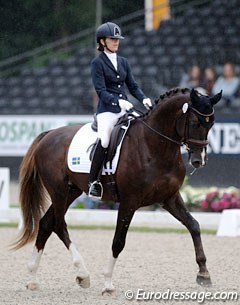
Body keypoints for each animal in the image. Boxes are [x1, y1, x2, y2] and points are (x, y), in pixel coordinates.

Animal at [14, 87, 221, 292]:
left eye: (211, 125)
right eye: (194, 123)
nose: (199, 160)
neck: (153, 145)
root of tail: (49, 134)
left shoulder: (169, 198)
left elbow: (194, 225)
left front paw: (204, 274)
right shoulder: (129, 201)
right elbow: (118, 241)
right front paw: (108, 283)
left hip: (71, 191)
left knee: (46, 223)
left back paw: (32, 278)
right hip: (58, 190)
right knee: (59, 225)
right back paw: (83, 274)